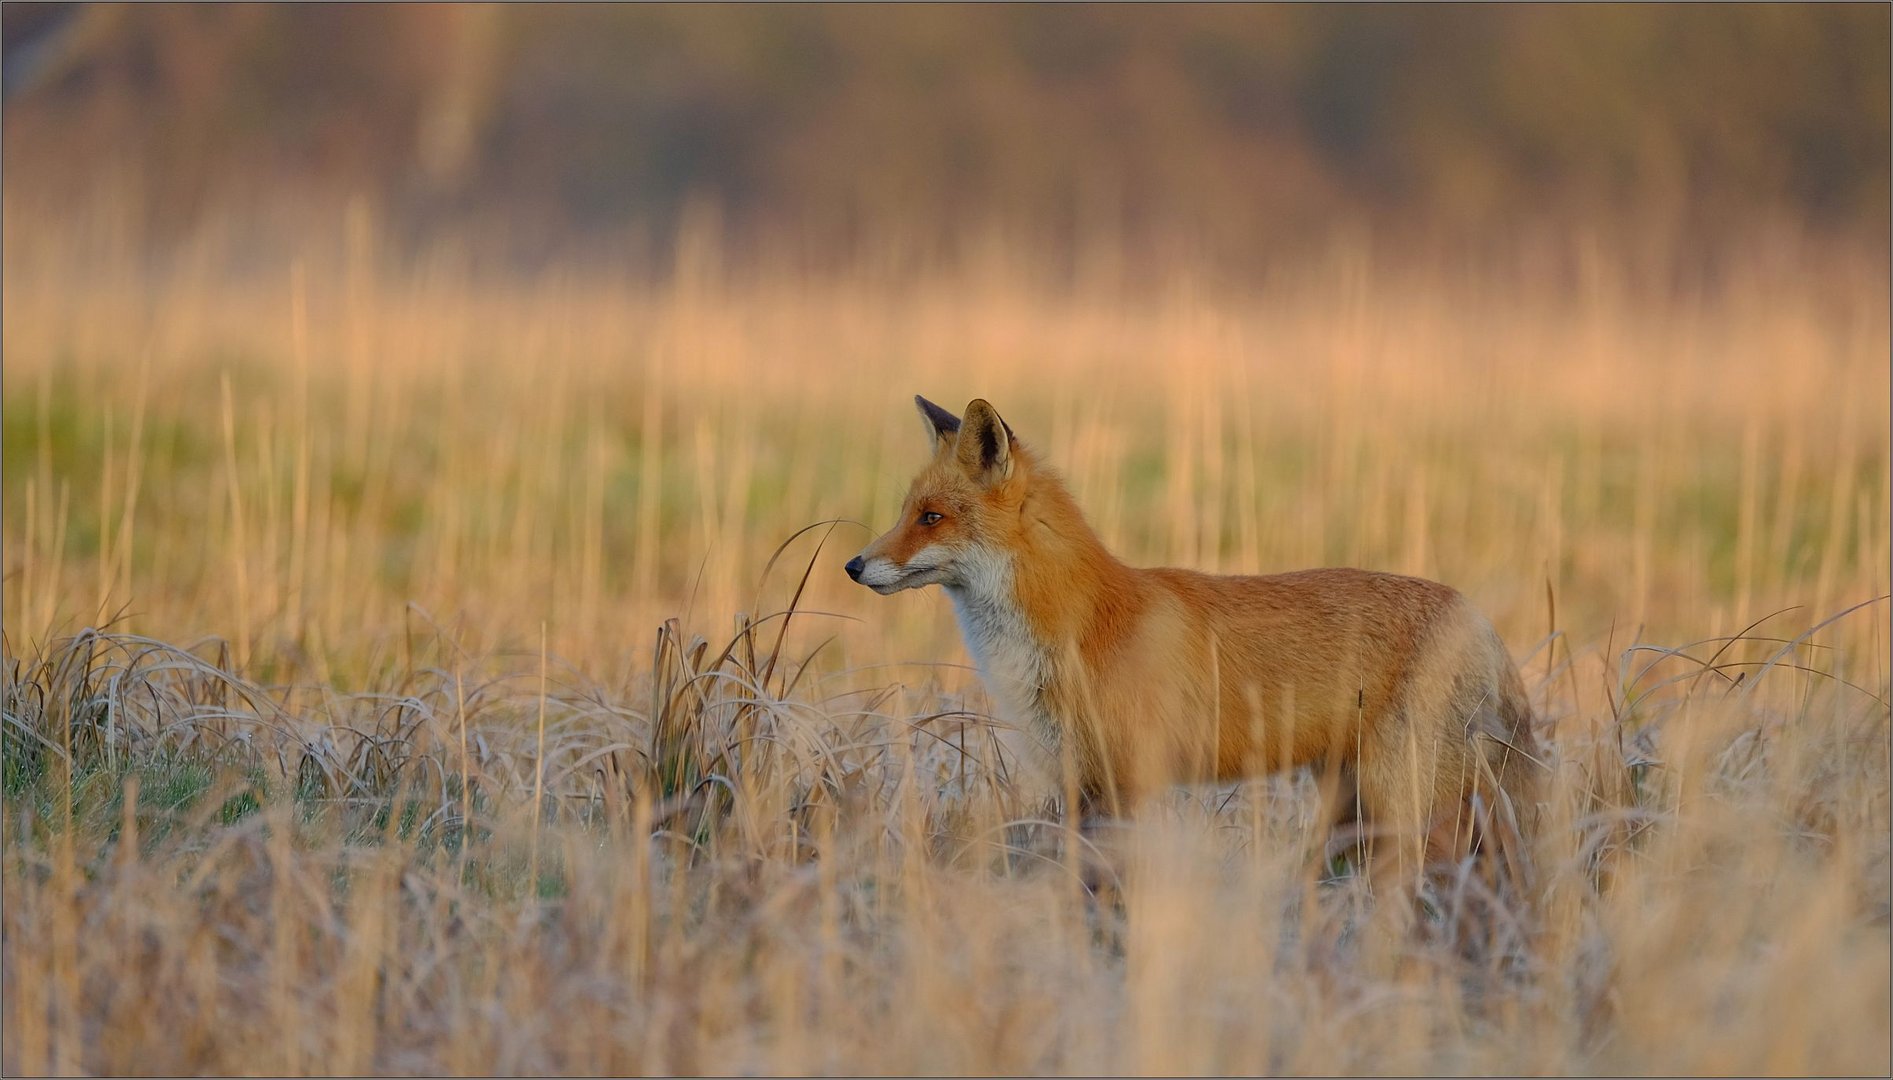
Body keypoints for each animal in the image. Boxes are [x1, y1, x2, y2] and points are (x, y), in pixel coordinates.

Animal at [844, 397, 1537, 888]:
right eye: (906, 513)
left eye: (931, 518)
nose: (853, 565)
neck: (1076, 626)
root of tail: (1478, 617)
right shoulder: (1081, 782)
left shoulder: (1131, 779)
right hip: (1351, 800)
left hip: (1405, 803)